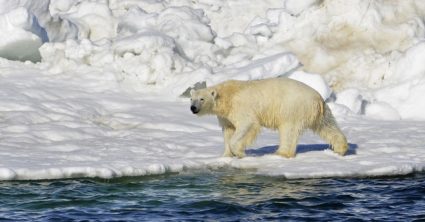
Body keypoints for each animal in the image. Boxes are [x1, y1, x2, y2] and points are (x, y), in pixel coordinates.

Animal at [190, 77, 348, 158]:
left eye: (202, 99)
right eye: (191, 99)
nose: (193, 108)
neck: (227, 95)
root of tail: (318, 99)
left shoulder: (241, 107)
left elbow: (247, 125)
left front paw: (239, 152)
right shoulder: (225, 115)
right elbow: (228, 130)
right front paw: (227, 155)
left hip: (292, 108)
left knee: (288, 131)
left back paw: (281, 152)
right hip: (320, 112)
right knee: (327, 126)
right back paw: (340, 148)